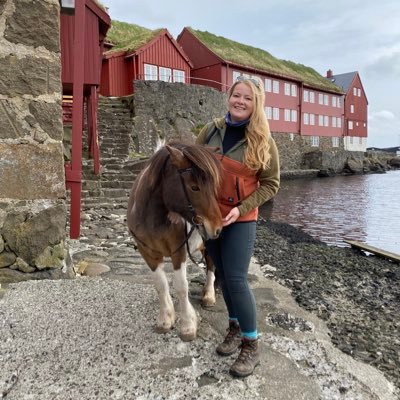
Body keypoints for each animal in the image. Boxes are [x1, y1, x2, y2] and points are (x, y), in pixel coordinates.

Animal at [127, 141, 223, 340]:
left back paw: (209, 295)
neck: (153, 218)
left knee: (211, 266)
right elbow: (161, 284)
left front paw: (188, 325)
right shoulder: (148, 253)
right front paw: (166, 319)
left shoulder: (178, 251)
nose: (217, 227)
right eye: (194, 187)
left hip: (208, 245)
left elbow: (181, 286)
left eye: (213, 187)